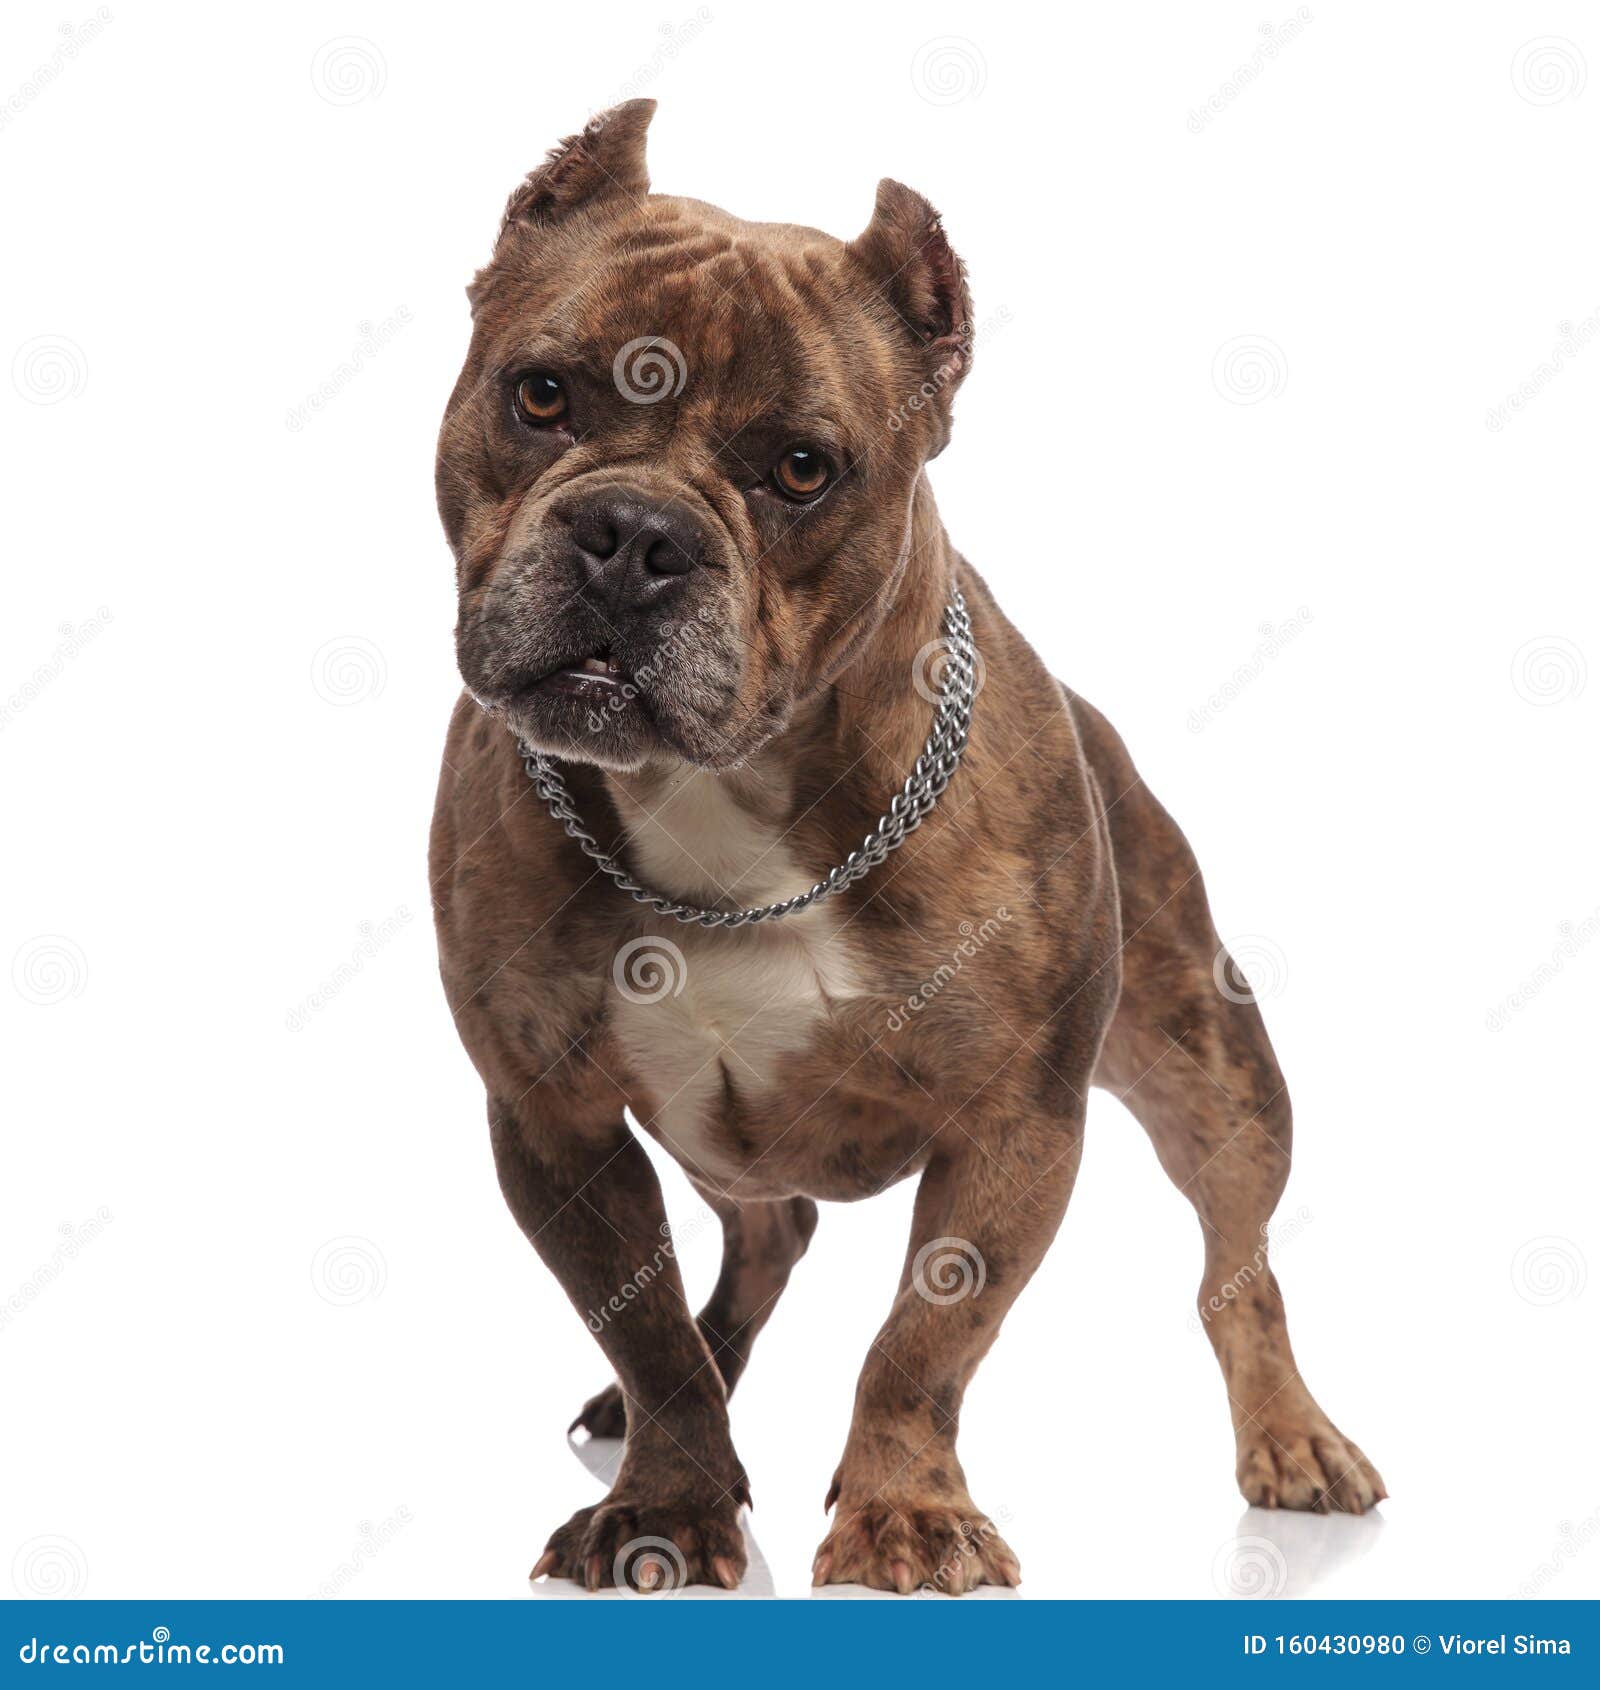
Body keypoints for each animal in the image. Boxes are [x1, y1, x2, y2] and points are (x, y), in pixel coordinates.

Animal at [432, 98, 1385, 1588]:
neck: (724, 803)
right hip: (716, 1142)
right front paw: (669, 1504)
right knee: (763, 1235)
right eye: (540, 395)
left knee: (1239, 1261)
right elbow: (640, 1326)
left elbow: (927, 1336)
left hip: (1213, 1067)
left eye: (801, 469)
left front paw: (904, 1512)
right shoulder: (553, 1115)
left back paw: (1291, 1435)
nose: (634, 531)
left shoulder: (1016, 1123)